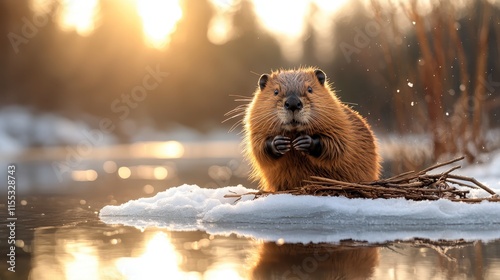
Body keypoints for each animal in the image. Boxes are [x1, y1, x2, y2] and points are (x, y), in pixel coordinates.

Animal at [242, 66, 378, 191]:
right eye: (275, 91)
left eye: (310, 89)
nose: (293, 103)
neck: (293, 132)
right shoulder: (256, 127)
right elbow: (258, 149)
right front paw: (279, 142)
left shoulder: (341, 122)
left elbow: (338, 146)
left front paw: (304, 142)